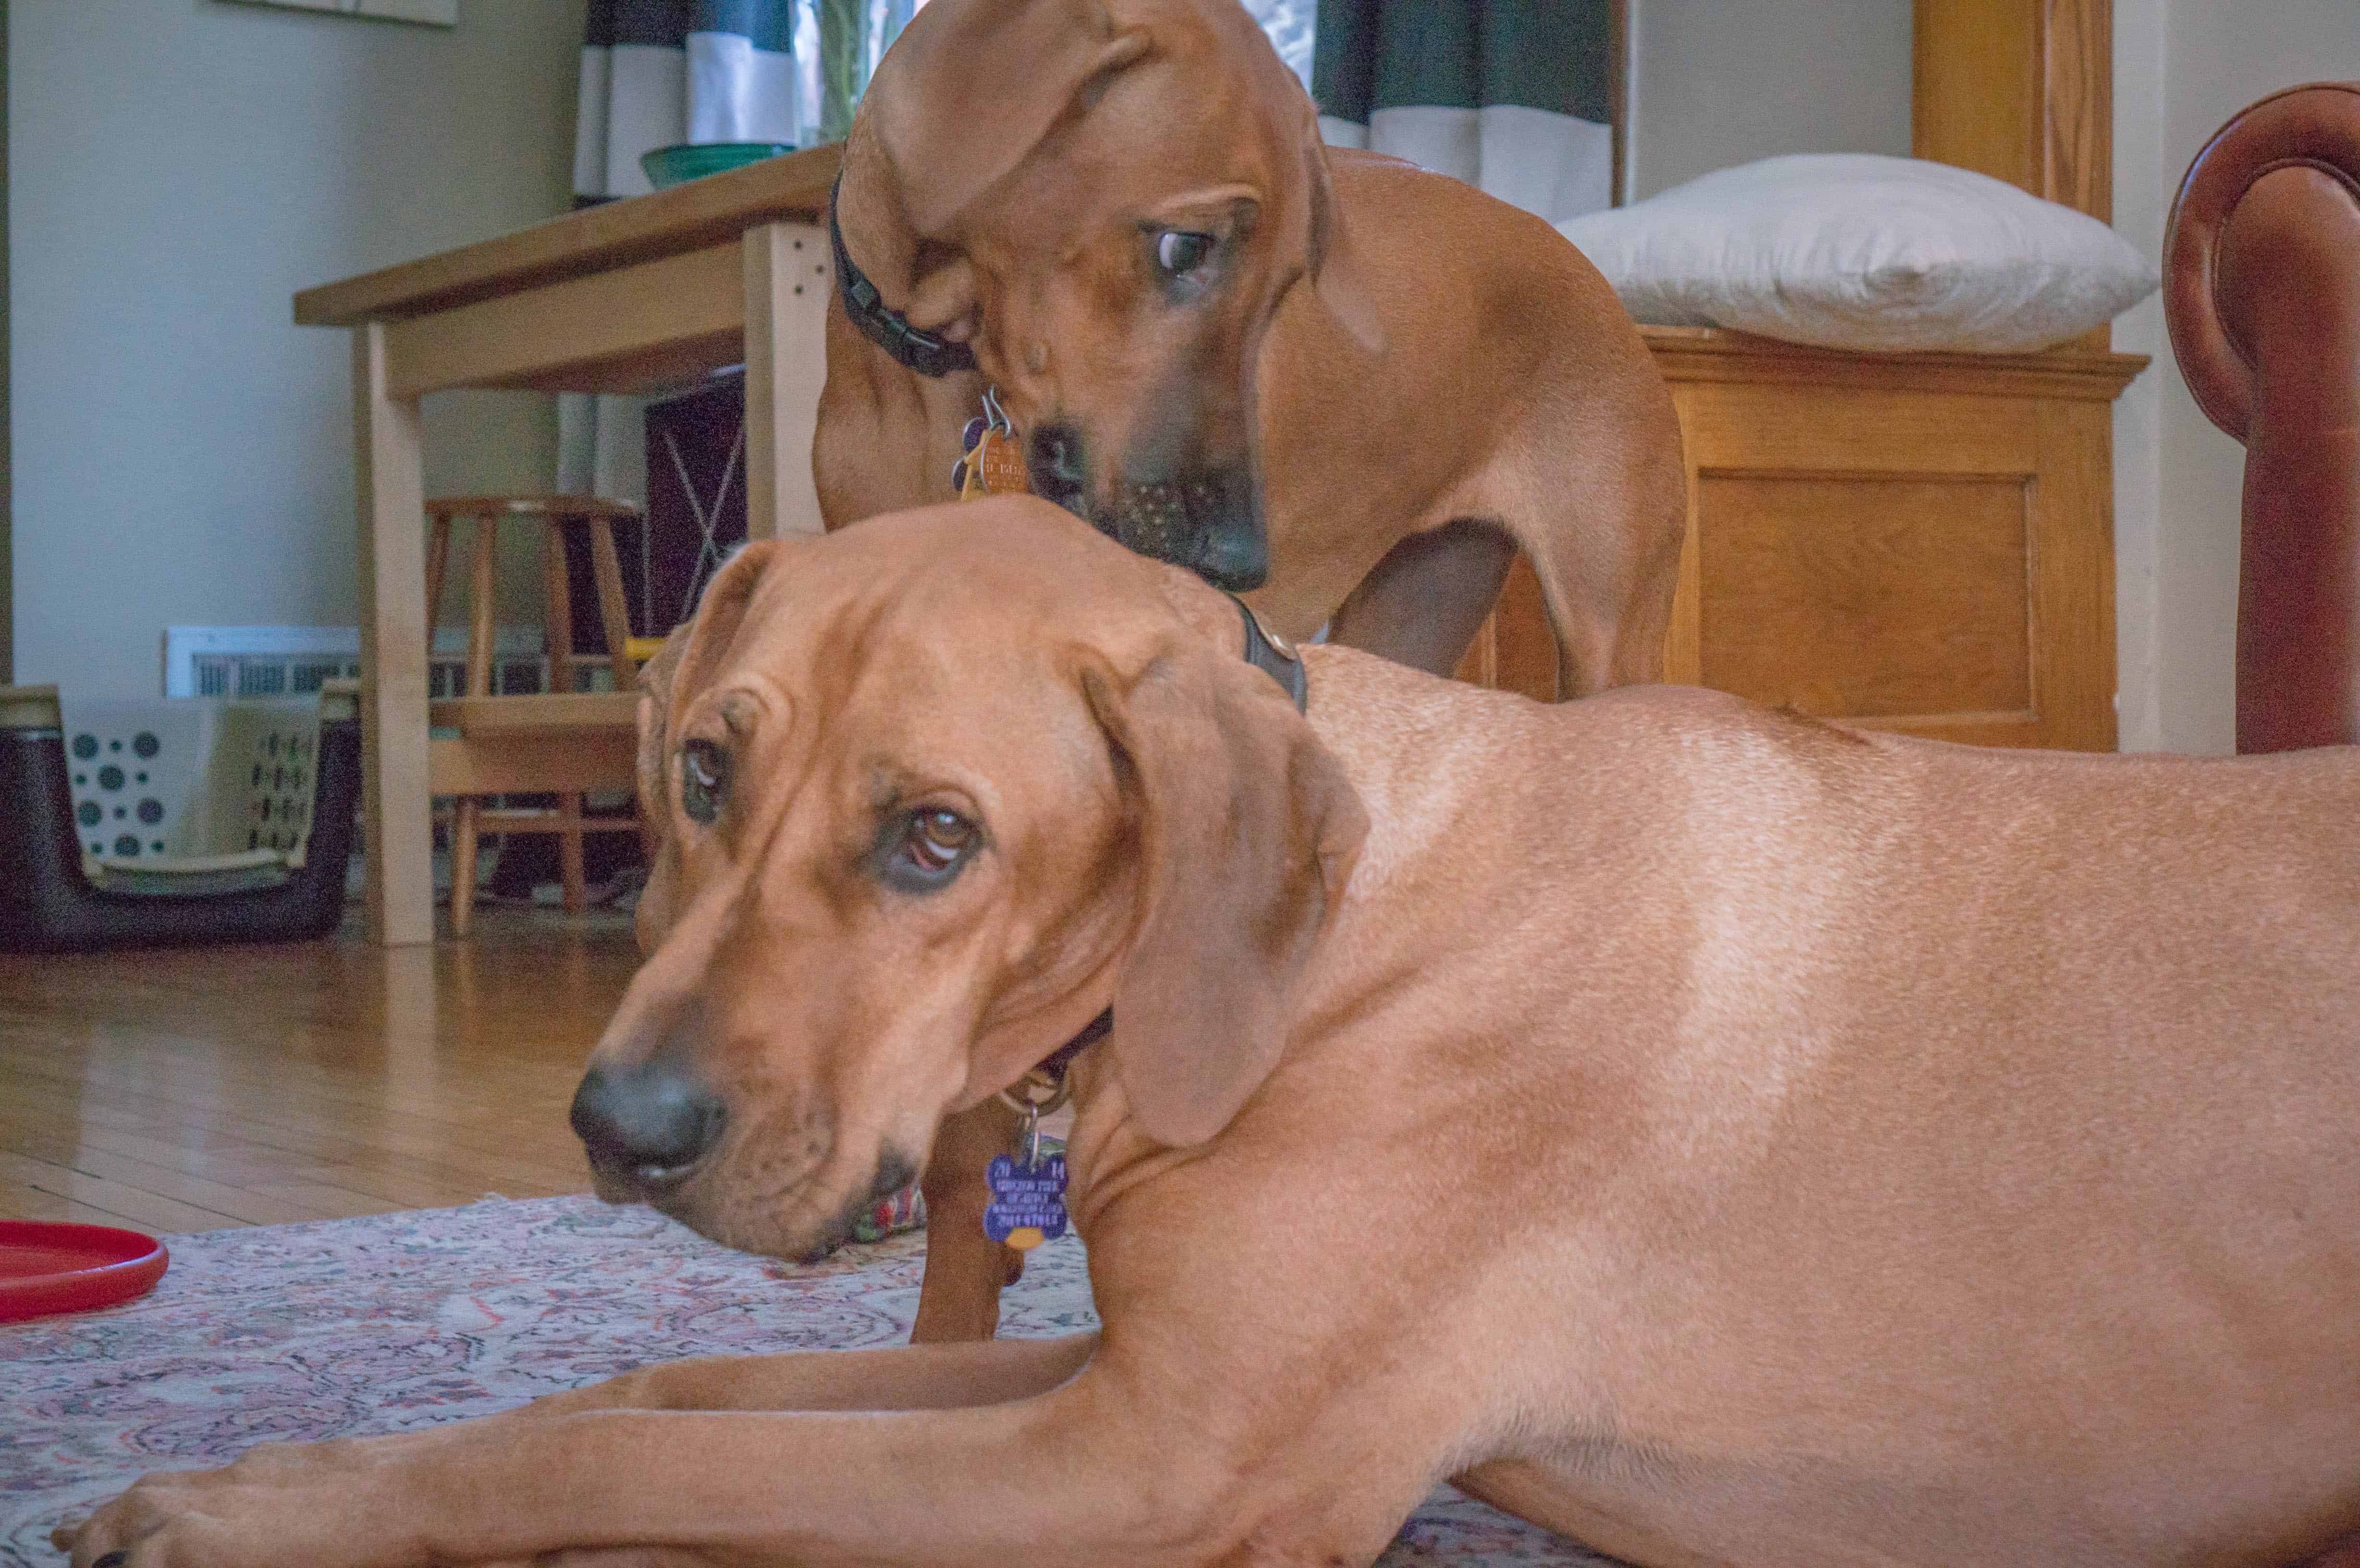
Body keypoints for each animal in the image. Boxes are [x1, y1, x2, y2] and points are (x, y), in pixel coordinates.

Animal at [60, 498, 2360, 1568]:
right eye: (701, 771)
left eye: (933, 837)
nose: (613, 1128)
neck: (1329, 944)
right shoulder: (1124, 1369)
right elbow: (659, 1384)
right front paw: (298, 1464)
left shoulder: (1162, 1467)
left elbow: (640, 1451)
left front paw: (257, 1514)